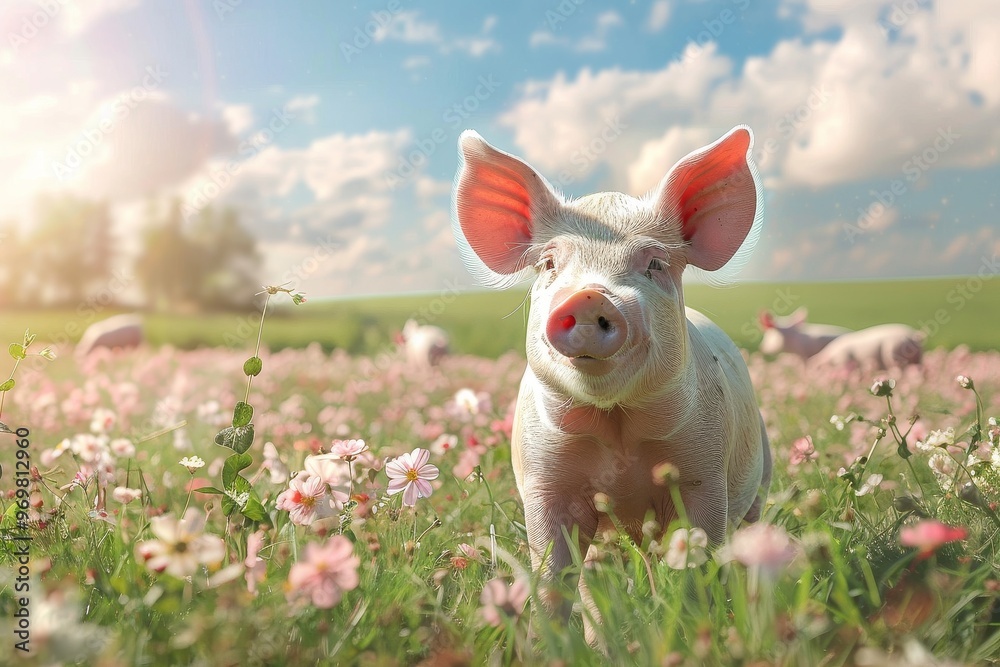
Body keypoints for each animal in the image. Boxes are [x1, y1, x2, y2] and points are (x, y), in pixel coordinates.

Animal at [452, 126, 771, 638]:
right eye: (549, 263)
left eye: (655, 263)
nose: (588, 296)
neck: (616, 429)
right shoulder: (543, 481)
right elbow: (552, 576)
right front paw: (551, 643)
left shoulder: (704, 469)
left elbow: (698, 563)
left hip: (763, 470)